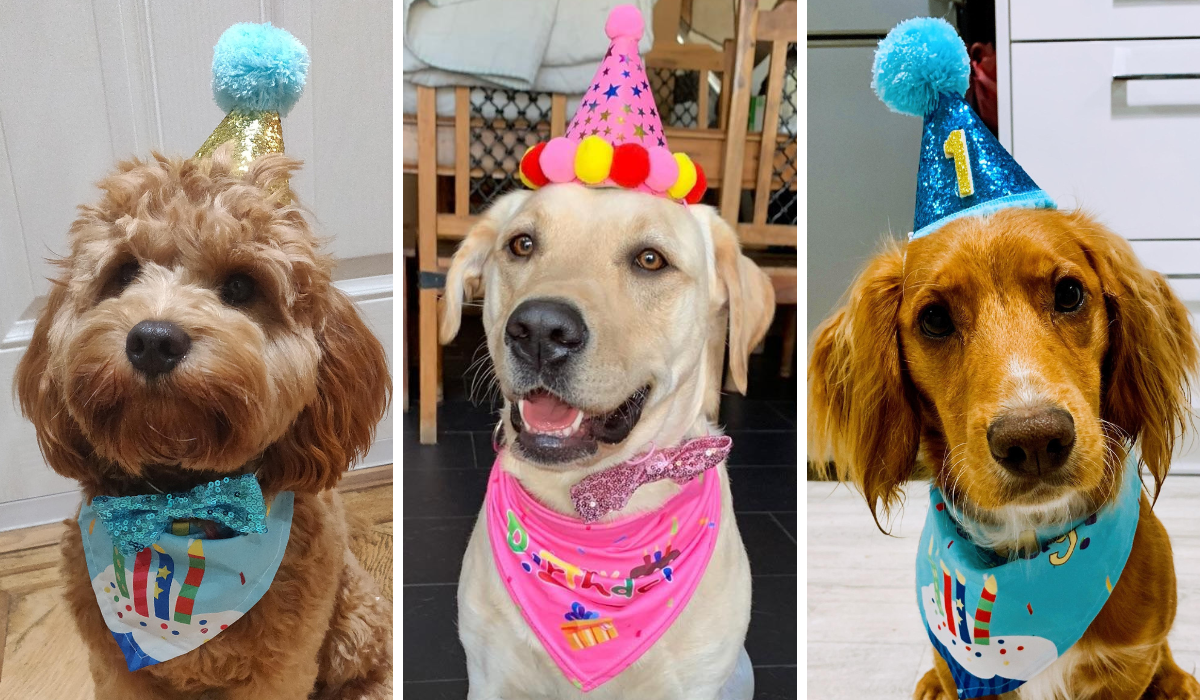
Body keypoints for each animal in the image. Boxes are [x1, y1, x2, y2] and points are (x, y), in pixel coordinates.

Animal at [12, 145, 393, 696]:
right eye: (124, 274)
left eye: (240, 285)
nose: (153, 340)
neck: (182, 503)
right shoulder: (117, 668)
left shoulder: (281, 667)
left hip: (354, 623)